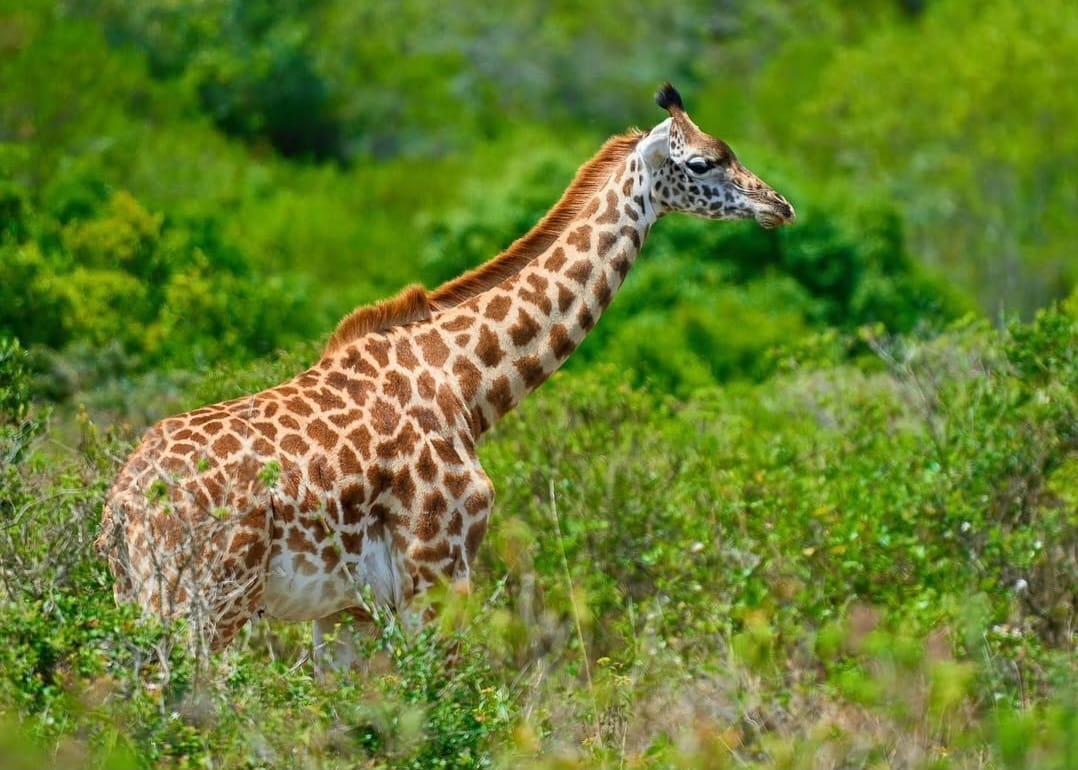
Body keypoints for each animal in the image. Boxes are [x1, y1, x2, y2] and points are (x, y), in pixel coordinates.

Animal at [96, 83, 795, 664]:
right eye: (702, 162)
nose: (780, 205)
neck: (465, 385)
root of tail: (124, 505)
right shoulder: (438, 569)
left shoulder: (347, 609)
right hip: (207, 599)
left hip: (139, 599)